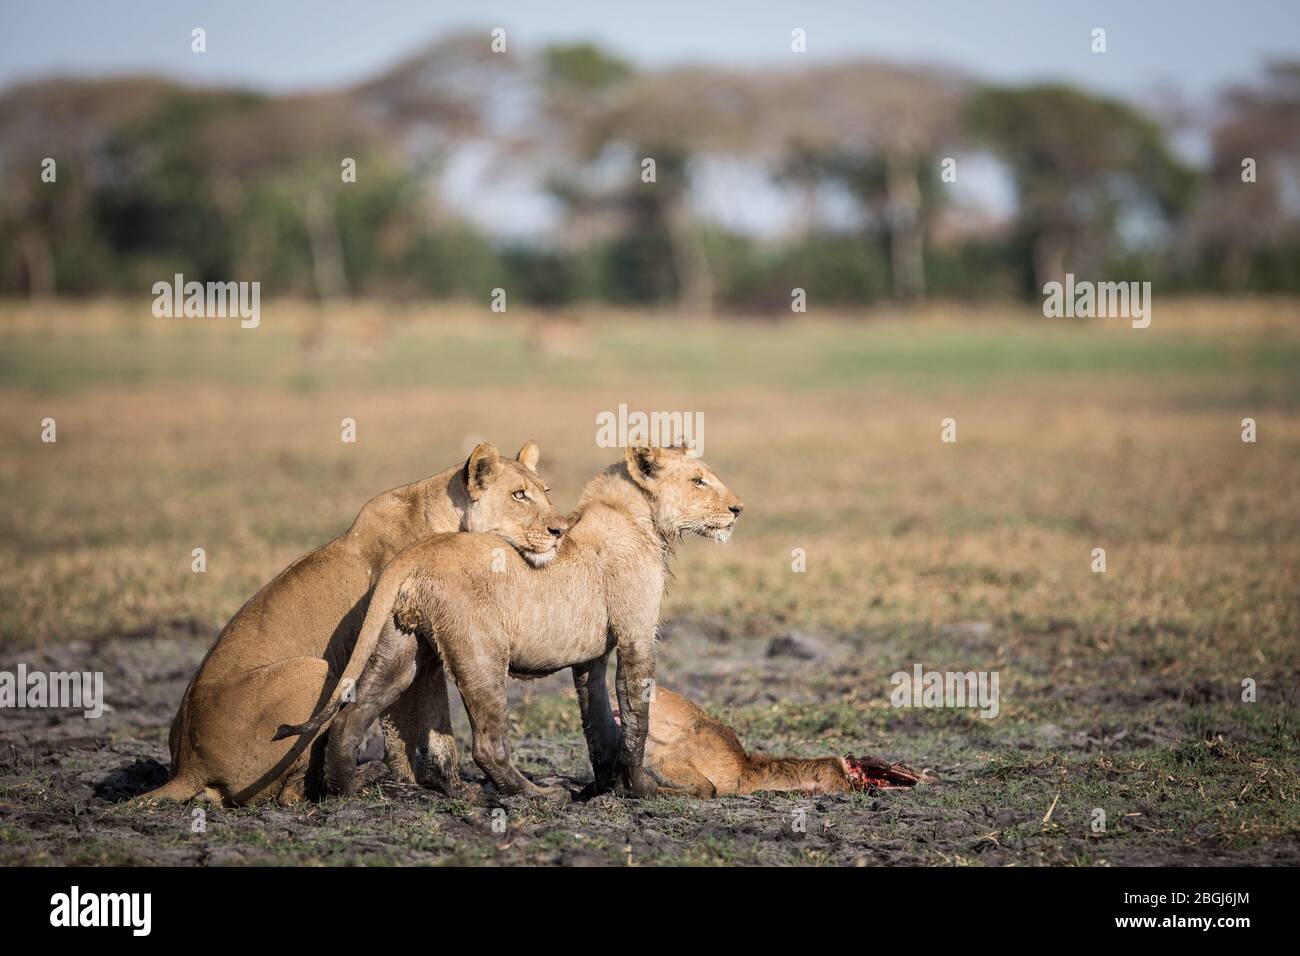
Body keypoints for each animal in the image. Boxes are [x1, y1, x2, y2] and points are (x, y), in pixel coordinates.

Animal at [137, 442, 564, 806]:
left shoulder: (427, 656)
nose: (560, 530)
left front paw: (448, 787)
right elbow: (405, 729)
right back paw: (363, 778)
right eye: (519, 495)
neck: (450, 523)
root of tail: (189, 767)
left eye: (545, 491)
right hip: (317, 671)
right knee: (289, 794)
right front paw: (416, 786)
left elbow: (435, 729)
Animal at [274, 444, 743, 806]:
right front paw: (645, 789)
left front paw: (602, 788)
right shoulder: (636, 636)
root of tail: (418, 552)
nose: (738, 509)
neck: (640, 519)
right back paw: (536, 794)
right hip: (482, 654)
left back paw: (348, 789)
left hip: (400, 648)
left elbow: (600, 725)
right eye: (699, 480)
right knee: (486, 743)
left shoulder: (590, 658)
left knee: (351, 716)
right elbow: (635, 720)